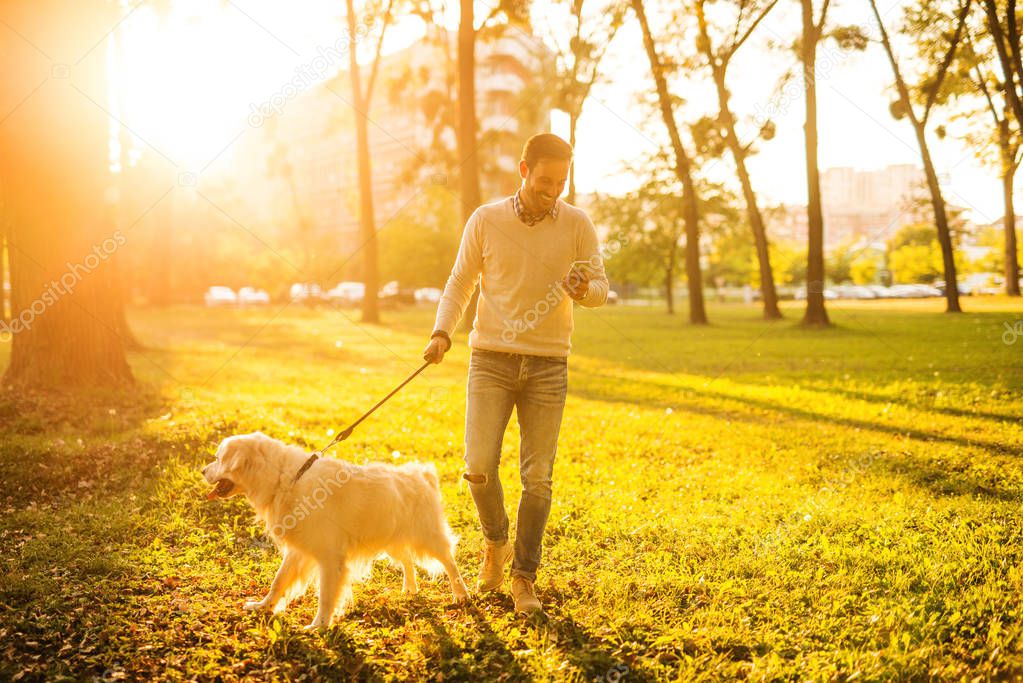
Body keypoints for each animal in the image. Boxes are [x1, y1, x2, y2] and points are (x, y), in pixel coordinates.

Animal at [200, 431, 470, 629]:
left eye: (218, 458)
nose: (202, 471)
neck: (285, 479)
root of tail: (420, 474)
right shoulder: (298, 550)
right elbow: (278, 581)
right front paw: (263, 606)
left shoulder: (329, 557)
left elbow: (326, 595)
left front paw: (319, 626)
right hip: (391, 538)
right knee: (407, 560)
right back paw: (410, 589)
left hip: (427, 537)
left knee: (449, 562)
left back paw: (461, 595)